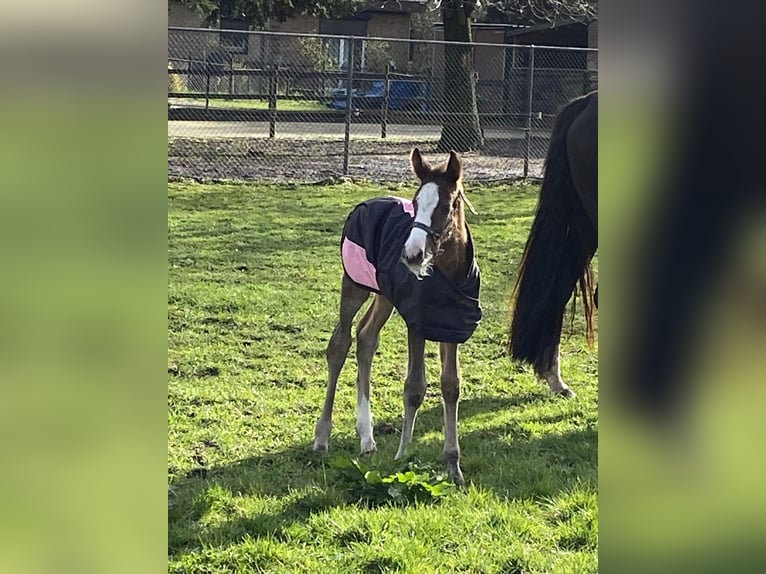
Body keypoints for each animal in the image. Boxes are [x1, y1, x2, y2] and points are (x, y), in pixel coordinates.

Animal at [312, 148, 480, 486]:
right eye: (415, 202)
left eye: (446, 206)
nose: (412, 255)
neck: (449, 275)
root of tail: (367, 201)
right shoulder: (417, 322)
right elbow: (414, 388)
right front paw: (404, 456)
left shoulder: (452, 326)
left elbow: (451, 385)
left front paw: (453, 466)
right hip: (355, 285)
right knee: (340, 343)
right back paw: (322, 437)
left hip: (385, 295)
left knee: (366, 337)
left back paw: (367, 437)